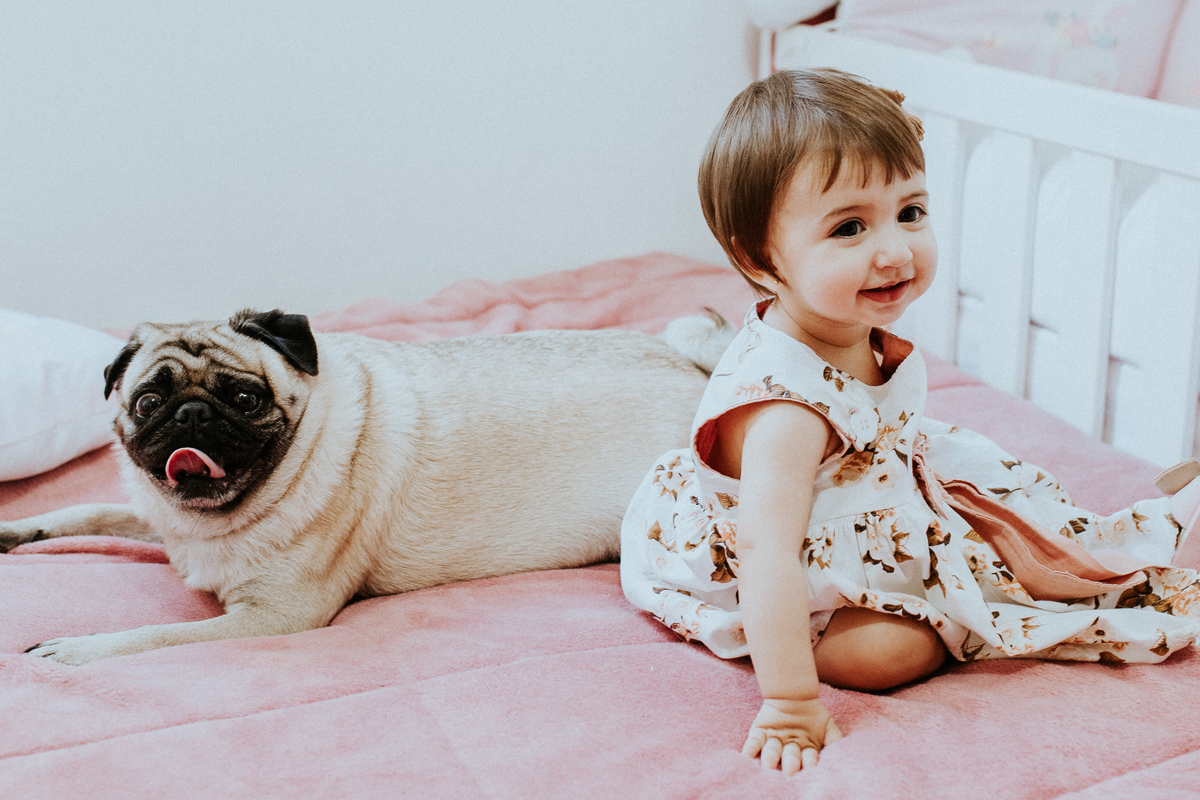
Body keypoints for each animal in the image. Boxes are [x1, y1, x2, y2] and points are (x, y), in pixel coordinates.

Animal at [0, 309, 733, 664]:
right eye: (148, 402)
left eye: (246, 397)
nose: (191, 416)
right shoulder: (160, 519)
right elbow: (91, 508)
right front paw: (19, 529)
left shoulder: (275, 616)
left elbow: (152, 638)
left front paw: (73, 649)